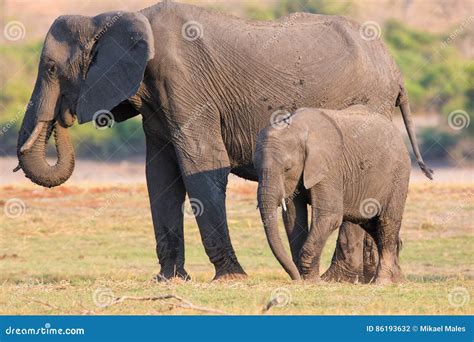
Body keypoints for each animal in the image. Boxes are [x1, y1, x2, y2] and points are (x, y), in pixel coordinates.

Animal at [254, 105, 410, 284]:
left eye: (287, 168)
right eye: (255, 168)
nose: (295, 279)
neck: (296, 128)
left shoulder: (330, 167)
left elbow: (330, 216)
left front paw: (312, 281)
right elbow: (293, 217)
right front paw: (305, 278)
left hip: (398, 175)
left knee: (386, 223)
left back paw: (382, 282)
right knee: (372, 225)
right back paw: (398, 280)